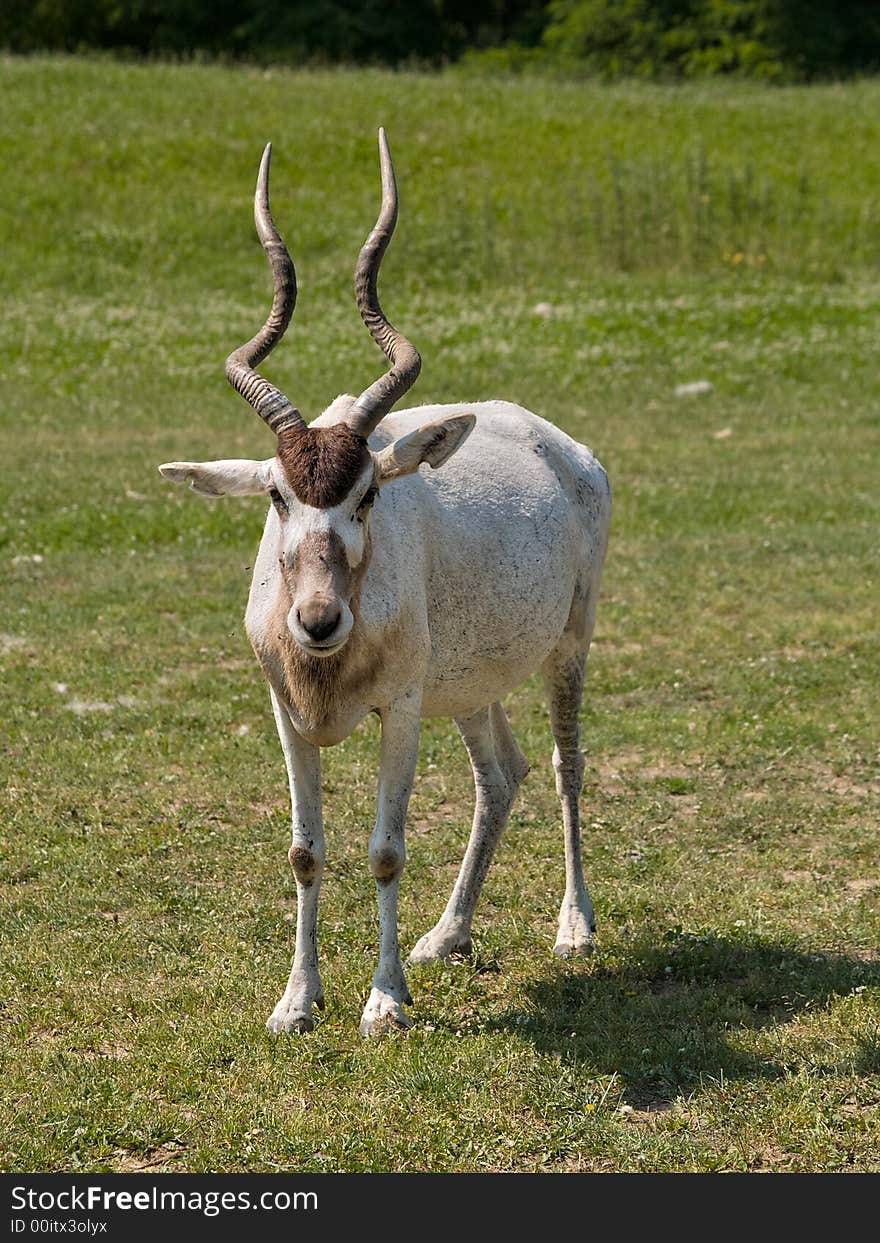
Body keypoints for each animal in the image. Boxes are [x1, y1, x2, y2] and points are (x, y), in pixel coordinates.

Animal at [157, 131, 609, 1034]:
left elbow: (385, 848)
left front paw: (384, 1001)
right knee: (499, 773)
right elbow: (305, 849)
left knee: (563, 762)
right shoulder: (287, 713)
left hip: (568, 646)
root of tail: (564, 446)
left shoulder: (398, 711)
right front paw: (296, 1001)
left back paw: (573, 928)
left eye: (367, 493)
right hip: (466, 684)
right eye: (276, 493)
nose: (318, 620)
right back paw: (448, 934)